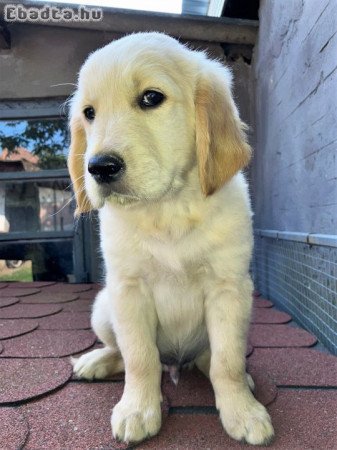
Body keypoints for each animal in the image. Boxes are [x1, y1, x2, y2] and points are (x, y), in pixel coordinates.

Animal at [69, 32, 272, 446]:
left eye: (151, 98)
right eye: (89, 113)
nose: (99, 167)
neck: (168, 209)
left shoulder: (229, 287)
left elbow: (227, 360)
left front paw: (242, 411)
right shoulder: (128, 290)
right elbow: (139, 357)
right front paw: (137, 409)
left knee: (212, 358)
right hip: (102, 308)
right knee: (119, 350)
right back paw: (96, 360)